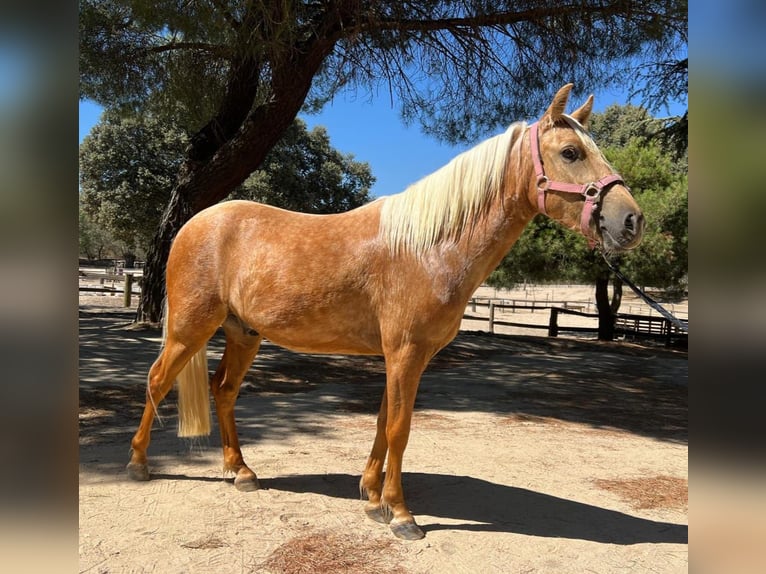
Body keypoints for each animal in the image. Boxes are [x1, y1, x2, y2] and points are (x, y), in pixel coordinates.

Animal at [126, 84, 644, 540]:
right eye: (571, 152)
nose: (631, 221)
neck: (428, 247)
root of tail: (194, 223)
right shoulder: (406, 353)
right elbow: (400, 427)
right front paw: (400, 515)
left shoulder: (405, 357)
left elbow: (382, 421)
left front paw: (371, 497)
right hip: (190, 329)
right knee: (158, 380)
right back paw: (138, 464)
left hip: (243, 333)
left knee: (224, 391)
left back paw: (241, 471)